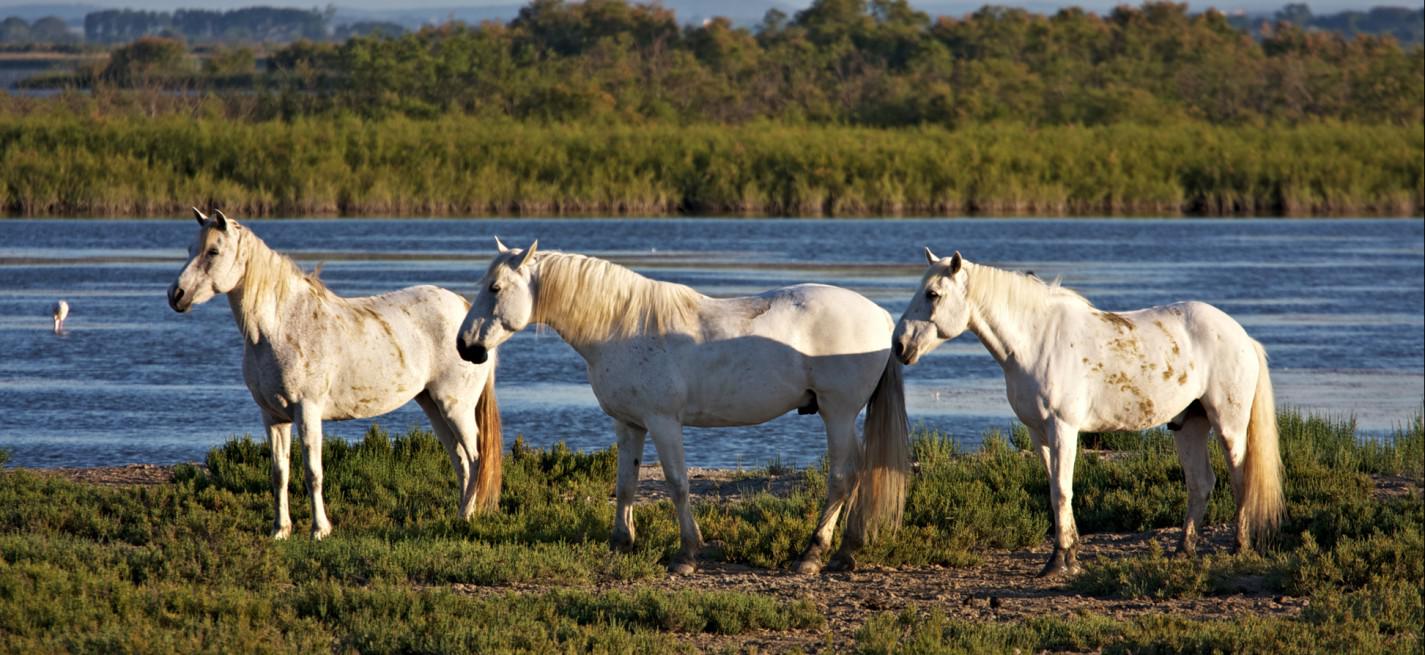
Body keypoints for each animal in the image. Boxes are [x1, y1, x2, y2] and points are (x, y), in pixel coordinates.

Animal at [167, 209, 504, 538]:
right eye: (189, 249)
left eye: (213, 251)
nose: (176, 295)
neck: (282, 326)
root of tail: (465, 311)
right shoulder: (272, 416)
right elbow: (279, 474)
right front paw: (280, 530)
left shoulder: (307, 411)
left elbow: (313, 473)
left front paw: (319, 530)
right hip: (432, 405)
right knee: (460, 460)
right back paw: (461, 516)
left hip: (455, 407)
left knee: (475, 458)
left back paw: (466, 517)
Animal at [456, 240, 912, 572]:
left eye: (495, 288)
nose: (465, 346)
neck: (622, 326)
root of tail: (881, 318)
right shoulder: (629, 424)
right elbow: (626, 483)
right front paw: (621, 543)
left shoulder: (664, 423)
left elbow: (677, 483)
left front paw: (687, 554)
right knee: (857, 473)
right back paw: (846, 549)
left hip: (838, 413)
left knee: (842, 475)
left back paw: (814, 554)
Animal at [894, 247, 1288, 575]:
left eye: (932, 294)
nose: (899, 345)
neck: (1036, 341)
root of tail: (1242, 336)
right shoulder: (1039, 433)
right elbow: (1056, 490)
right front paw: (1069, 555)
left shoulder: (1063, 428)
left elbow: (1062, 491)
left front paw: (1058, 562)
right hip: (1189, 425)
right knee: (1201, 484)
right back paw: (1182, 550)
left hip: (1228, 425)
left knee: (1241, 480)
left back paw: (1239, 547)